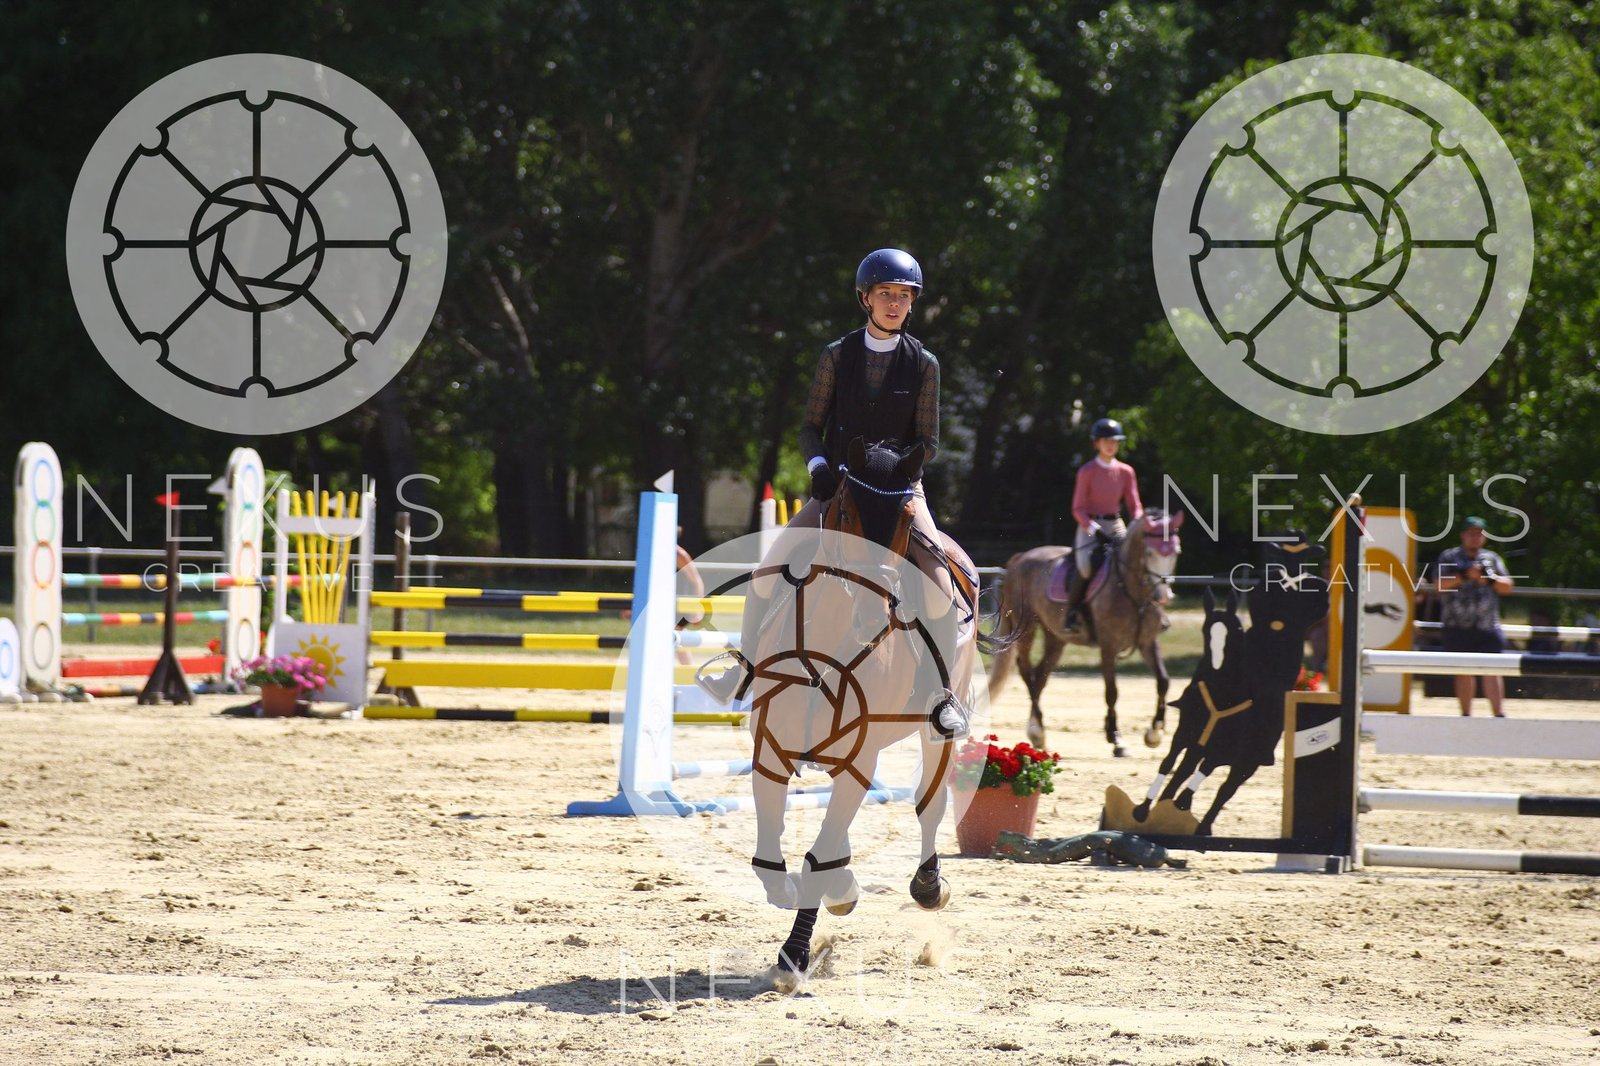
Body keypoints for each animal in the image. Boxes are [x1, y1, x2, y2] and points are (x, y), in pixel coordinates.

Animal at [740, 438, 993, 986]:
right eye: (847, 511)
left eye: (905, 521)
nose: (877, 609)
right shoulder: (769, 753)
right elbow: (772, 851)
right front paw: (815, 894)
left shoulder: (860, 759)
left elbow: (818, 856)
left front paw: (796, 953)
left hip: (939, 727)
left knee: (929, 802)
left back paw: (928, 886)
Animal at [986, 509, 1183, 757]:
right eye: (1149, 552)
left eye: (1176, 552)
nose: (1163, 596)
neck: (1132, 591)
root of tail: (1021, 557)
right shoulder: (1108, 645)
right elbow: (1112, 690)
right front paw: (1116, 739)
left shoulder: (1148, 641)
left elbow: (1163, 682)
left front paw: (1154, 733)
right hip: (1026, 628)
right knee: (1026, 672)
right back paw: (1038, 731)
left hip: (1056, 638)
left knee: (1040, 675)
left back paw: (1036, 731)